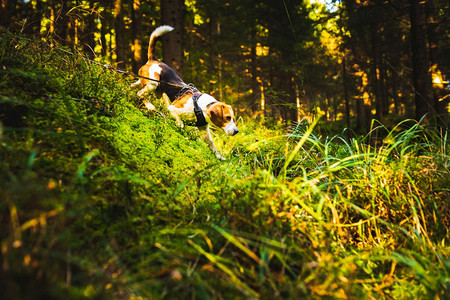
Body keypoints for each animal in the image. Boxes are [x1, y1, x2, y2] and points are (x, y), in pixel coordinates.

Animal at [130, 25, 237, 161]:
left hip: (143, 82)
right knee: (140, 95)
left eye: (233, 118)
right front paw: (180, 126)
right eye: (227, 118)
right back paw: (150, 106)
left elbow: (211, 144)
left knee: (133, 88)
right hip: (152, 84)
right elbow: (180, 122)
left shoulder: (204, 130)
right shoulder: (172, 108)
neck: (201, 107)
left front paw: (219, 157)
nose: (237, 131)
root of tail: (153, 60)